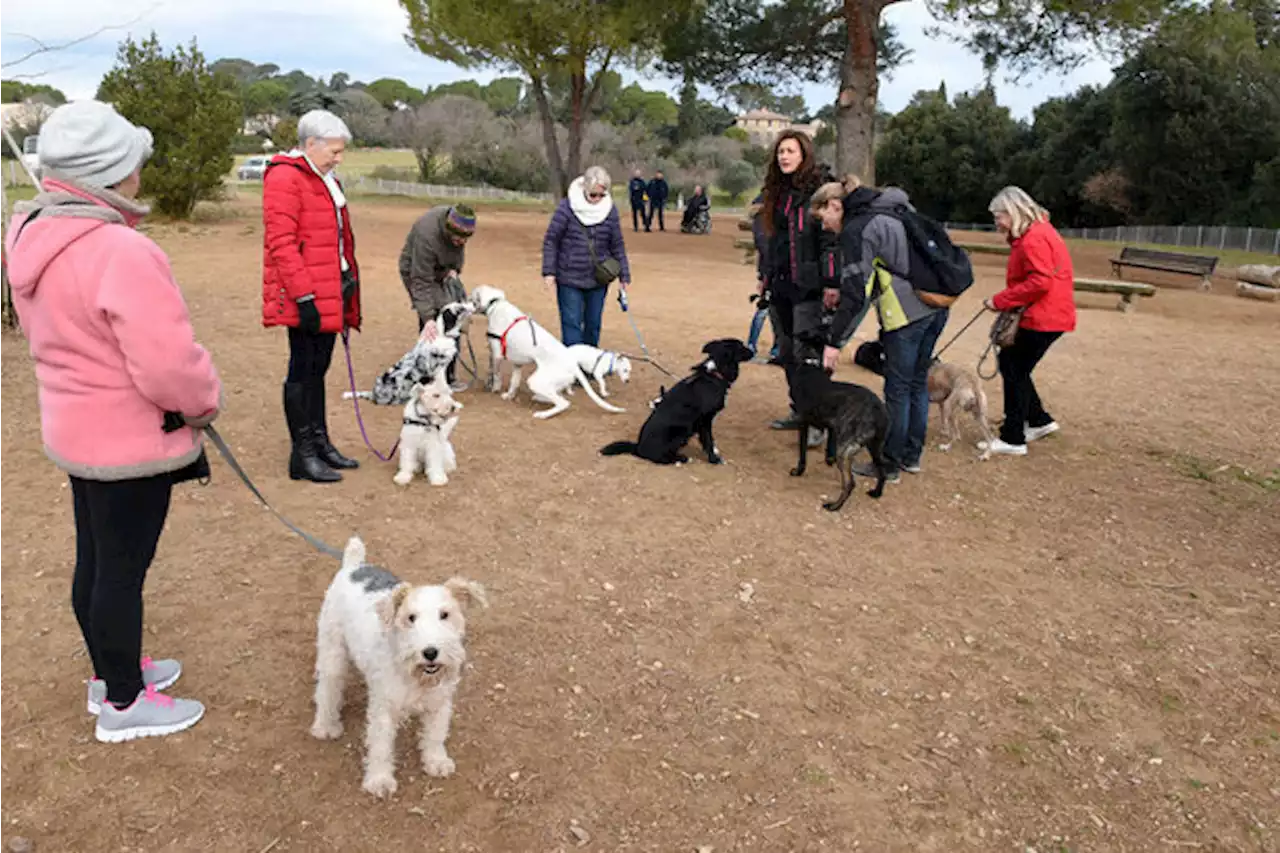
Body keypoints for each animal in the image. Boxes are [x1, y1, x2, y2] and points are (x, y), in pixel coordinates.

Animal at [312, 535, 486, 794]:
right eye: (410, 618)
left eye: (445, 614)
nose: (430, 652)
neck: (417, 679)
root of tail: (354, 566)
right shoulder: (384, 707)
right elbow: (381, 746)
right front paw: (380, 780)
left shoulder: (439, 702)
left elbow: (435, 735)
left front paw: (436, 762)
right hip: (333, 651)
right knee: (327, 689)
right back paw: (325, 726)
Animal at [345, 298, 476, 404]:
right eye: (460, 309)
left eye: (460, 304)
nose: (473, 303)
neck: (444, 334)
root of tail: (373, 395)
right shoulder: (439, 369)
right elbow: (443, 385)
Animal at [471, 285, 629, 417]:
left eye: (471, 299)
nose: (466, 305)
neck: (496, 304)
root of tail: (573, 365)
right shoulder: (517, 364)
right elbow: (513, 383)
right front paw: (509, 395)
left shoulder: (496, 355)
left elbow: (495, 374)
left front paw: (493, 388)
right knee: (558, 395)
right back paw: (540, 398)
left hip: (535, 381)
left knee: (563, 403)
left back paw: (543, 414)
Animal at [601, 335, 752, 461]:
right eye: (741, 346)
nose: (753, 351)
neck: (714, 374)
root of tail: (638, 447)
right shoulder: (705, 420)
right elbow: (708, 440)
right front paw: (714, 459)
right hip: (682, 430)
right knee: (660, 458)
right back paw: (680, 459)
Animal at [788, 333, 890, 507]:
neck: (810, 363)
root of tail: (877, 409)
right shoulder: (832, 427)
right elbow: (829, 446)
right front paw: (829, 460)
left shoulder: (803, 423)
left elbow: (802, 454)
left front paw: (798, 471)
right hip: (875, 446)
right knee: (882, 470)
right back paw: (876, 493)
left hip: (845, 449)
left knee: (850, 483)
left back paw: (834, 506)